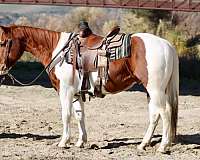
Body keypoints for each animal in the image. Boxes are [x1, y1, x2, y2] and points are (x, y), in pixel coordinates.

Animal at [0, 25, 178, 152]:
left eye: (2, 42)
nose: (1, 68)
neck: (58, 51)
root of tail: (167, 45)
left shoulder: (65, 91)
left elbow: (66, 115)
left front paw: (63, 142)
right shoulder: (76, 93)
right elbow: (79, 115)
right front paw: (80, 142)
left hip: (155, 89)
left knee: (165, 113)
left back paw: (163, 146)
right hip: (152, 91)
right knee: (155, 115)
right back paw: (143, 144)